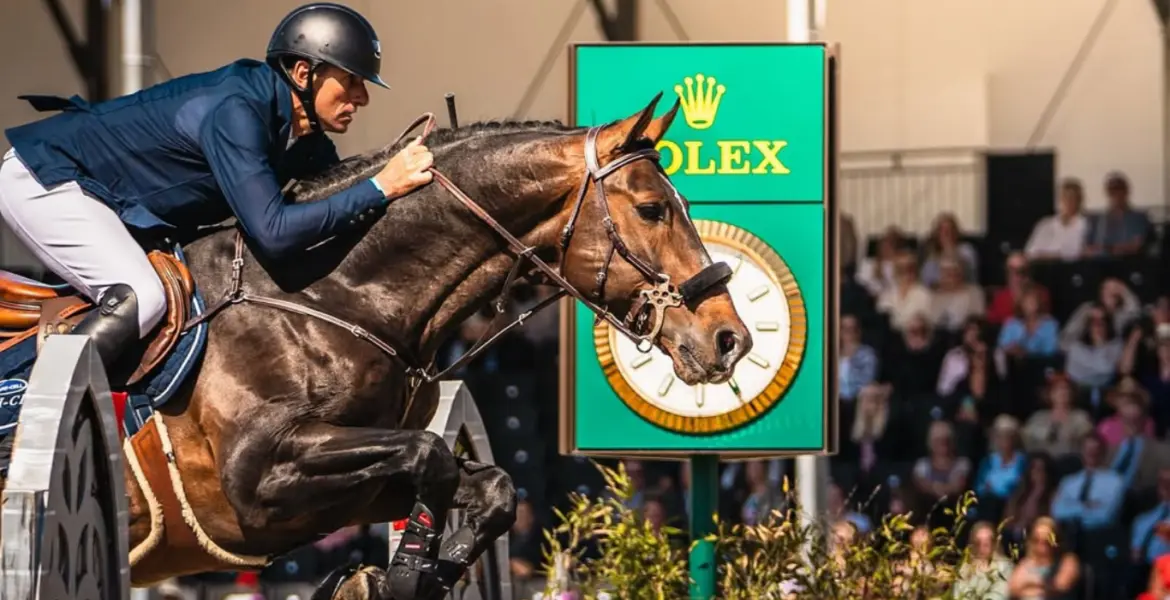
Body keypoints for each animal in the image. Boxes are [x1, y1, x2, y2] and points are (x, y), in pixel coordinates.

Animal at [0, 93, 751, 600]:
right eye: (652, 208)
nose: (730, 339)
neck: (331, 296)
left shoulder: (338, 493)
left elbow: (489, 485)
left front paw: (418, 568)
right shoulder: (258, 481)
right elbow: (429, 457)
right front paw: (407, 573)